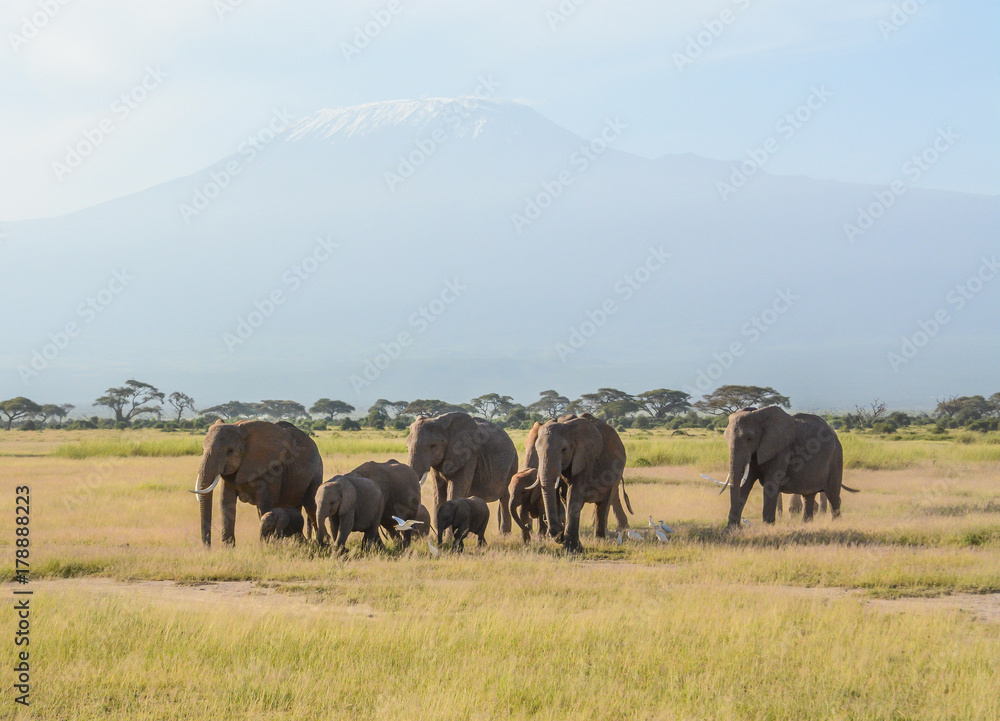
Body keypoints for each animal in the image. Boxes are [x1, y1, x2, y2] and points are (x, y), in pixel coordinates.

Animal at [190, 420, 323, 547]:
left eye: (230, 451)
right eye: (202, 449)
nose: (208, 547)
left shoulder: (273, 469)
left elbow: (264, 504)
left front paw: (265, 547)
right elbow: (226, 502)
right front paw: (228, 549)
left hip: (316, 471)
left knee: (311, 506)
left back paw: (321, 544)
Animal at [535, 413, 627, 552]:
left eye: (564, 449)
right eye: (536, 449)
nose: (559, 536)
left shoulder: (586, 458)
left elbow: (575, 494)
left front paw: (572, 548)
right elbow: (558, 493)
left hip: (617, 470)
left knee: (604, 503)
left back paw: (600, 541)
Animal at [723, 406, 858, 527]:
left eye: (749, 438)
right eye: (726, 438)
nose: (739, 524)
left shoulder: (782, 449)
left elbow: (770, 484)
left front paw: (767, 527)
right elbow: (745, 484)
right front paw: (732, 529)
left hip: (836, 457)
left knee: (833, 494)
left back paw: (836, 524)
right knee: (809, 495)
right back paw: (806, 525)